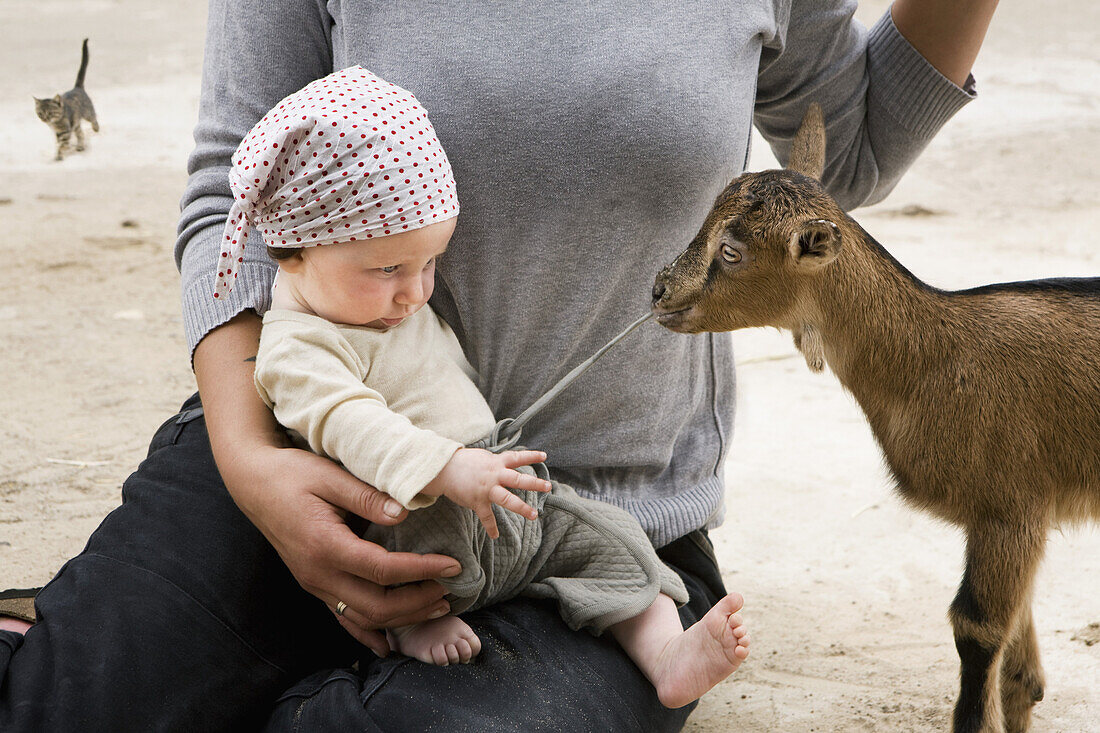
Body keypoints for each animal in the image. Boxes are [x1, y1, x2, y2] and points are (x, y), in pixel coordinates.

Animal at [651, 104, 1100, 730]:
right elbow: (1021, 670)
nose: (659, 290)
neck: (938, 358)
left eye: (732, 251)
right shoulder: (1018, 523)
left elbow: (977, 629)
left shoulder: (1009, 506)